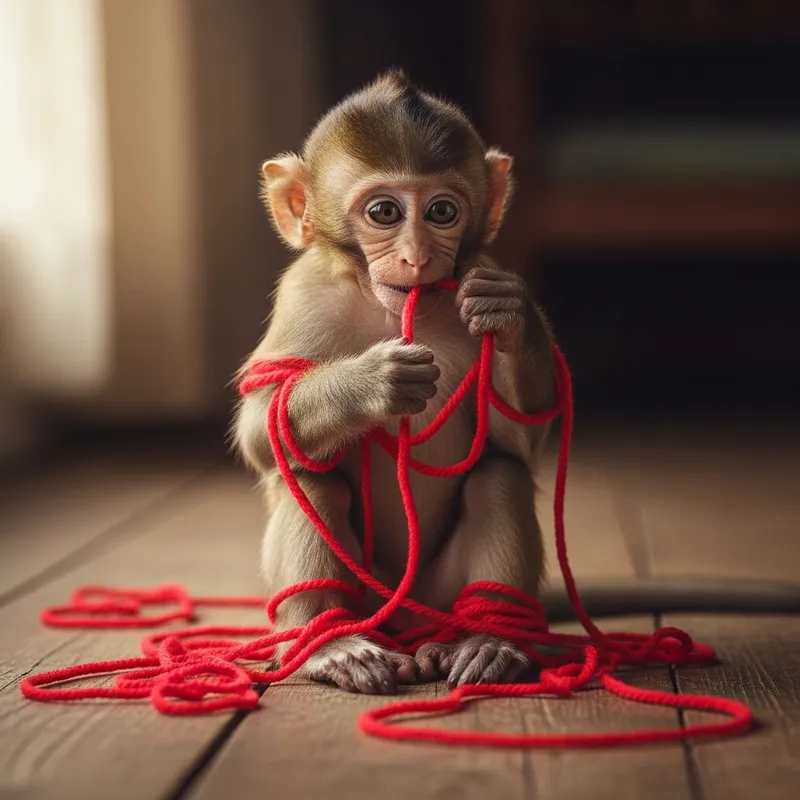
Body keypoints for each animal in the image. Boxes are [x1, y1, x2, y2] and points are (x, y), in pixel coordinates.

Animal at [233, 70, 800, 695]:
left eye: (441, 212)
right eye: (384, 212)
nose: (417, 256)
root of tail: (410, 621)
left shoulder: (486, 268)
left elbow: (516, 436)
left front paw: (513, 319)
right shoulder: (305, 296)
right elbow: (262, 427)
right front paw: (368, 383)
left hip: (442, 593)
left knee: (496, 477)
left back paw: (489, 637)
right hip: (374, 595)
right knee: (312, 479)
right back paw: (331, 642)